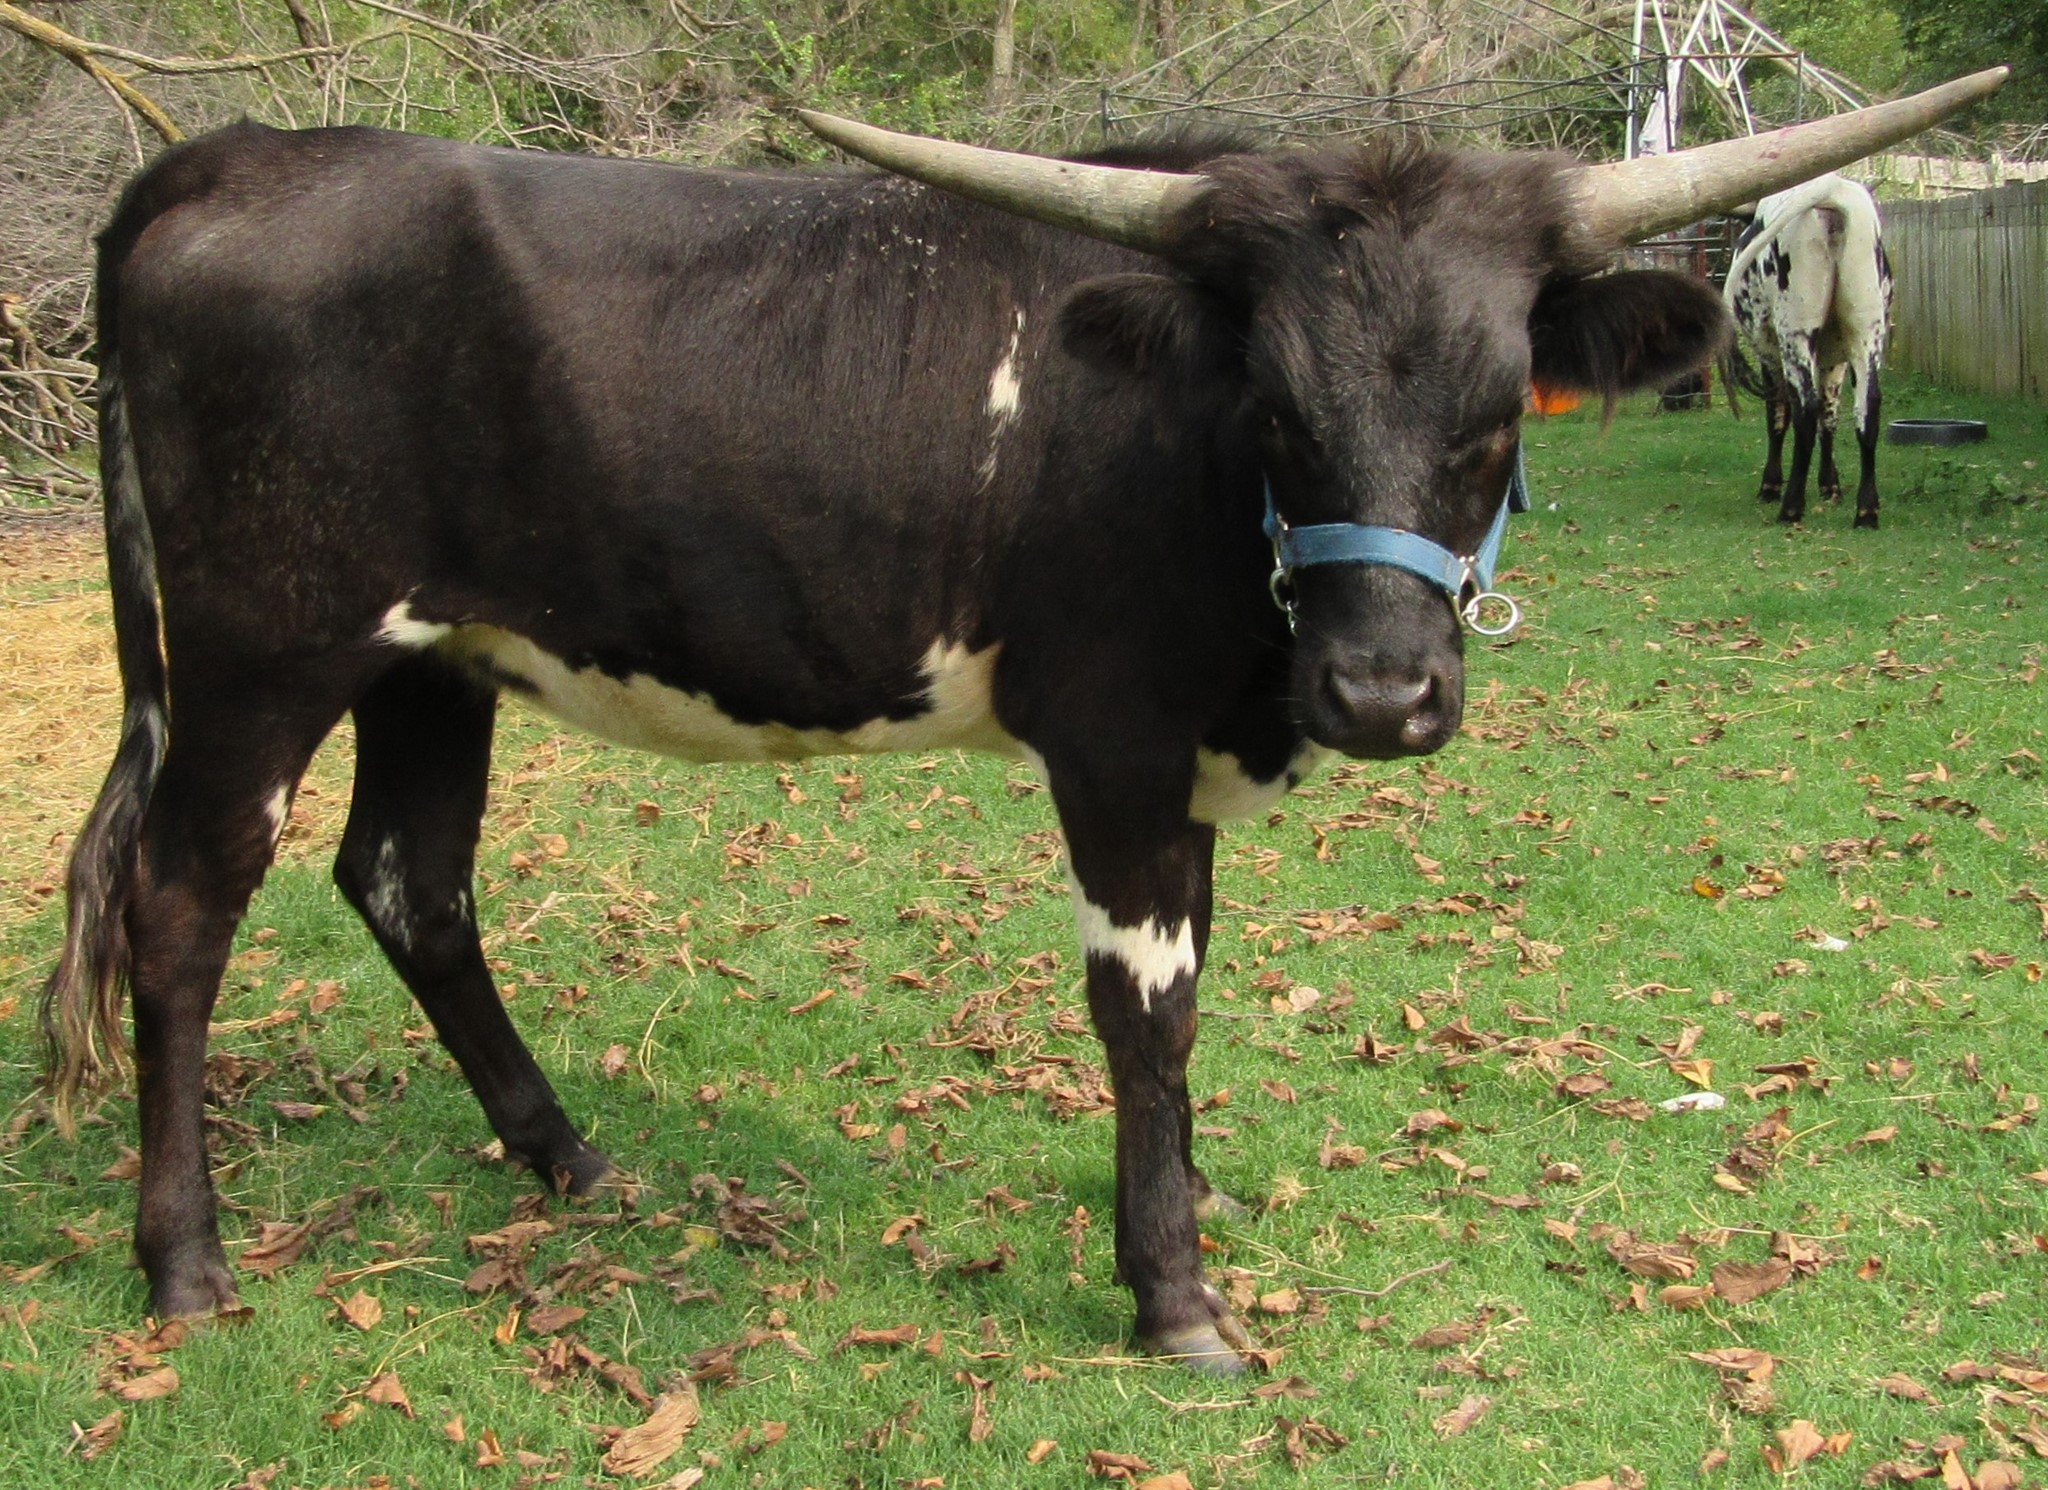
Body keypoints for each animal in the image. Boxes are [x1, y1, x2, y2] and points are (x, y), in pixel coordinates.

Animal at [1723, 172, 1894, 527]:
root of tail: (1834, 190)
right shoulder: (1835, 361)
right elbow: (1830, 416)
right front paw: (1830, 485)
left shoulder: (1769, 355)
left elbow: (1778, 416)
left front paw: (1770, 485)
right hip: (1866, 330)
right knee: (1867, 407)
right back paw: (1866, 510)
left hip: (1795, 331)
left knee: (1804, 408)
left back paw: (1790, 507)